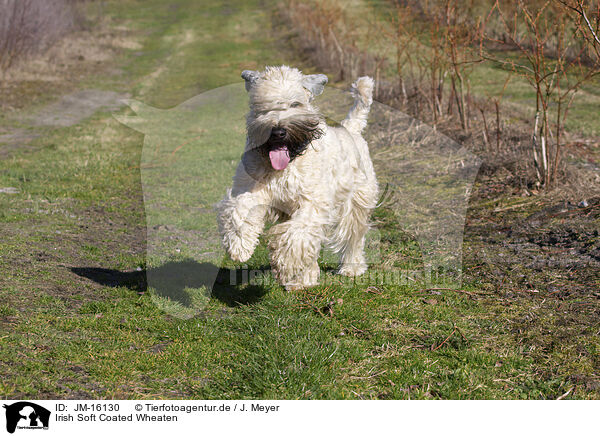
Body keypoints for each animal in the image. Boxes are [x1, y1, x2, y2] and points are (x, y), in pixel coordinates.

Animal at [216, 65, 378, 290]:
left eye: (295, 104)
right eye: (261, 106)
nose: (278, 131)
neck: (285, 166)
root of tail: (351, 128)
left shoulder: (312, 203)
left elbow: (297, 235)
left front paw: (285, 265)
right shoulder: (250, 189)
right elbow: (239, 211)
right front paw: (239, 245)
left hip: (357, 201)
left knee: (353, 236)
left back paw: (350, 268)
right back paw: (303, 279)